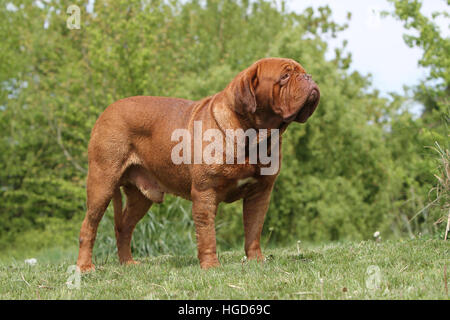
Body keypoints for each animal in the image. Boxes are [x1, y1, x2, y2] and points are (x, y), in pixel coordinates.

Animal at [76, 57, 320, 270]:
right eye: (285, 76)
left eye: (302, 71)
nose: (308, 77)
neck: (252, 134)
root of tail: (107, 110)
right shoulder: (205, 192)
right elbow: (207, 232)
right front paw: (211, 265)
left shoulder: (260, 192)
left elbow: (253, 229)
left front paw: (256, 260)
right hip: (102, 182)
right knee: (89, 225)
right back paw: (85, 267)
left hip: (141, 196)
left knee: (124, 227)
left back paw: (128, 263)